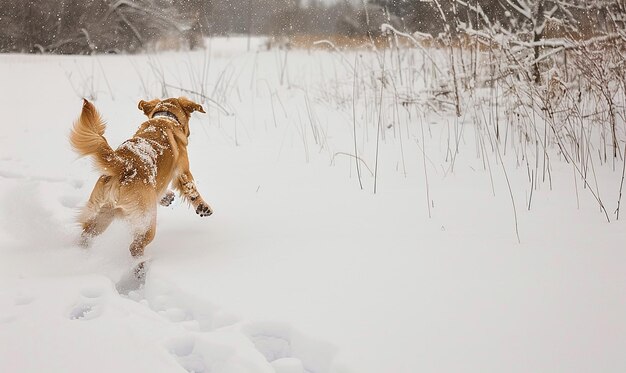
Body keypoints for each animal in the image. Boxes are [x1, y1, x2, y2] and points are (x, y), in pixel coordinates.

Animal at [70, 96, 212, 270]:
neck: (166, 116)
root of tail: (124, 165)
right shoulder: (183, 171)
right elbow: (192, 190)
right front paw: (203, 207)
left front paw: (167, 198)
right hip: (147, 221)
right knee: (135, 246)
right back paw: (141, 266)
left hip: (103, 213)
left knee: (86, 234)